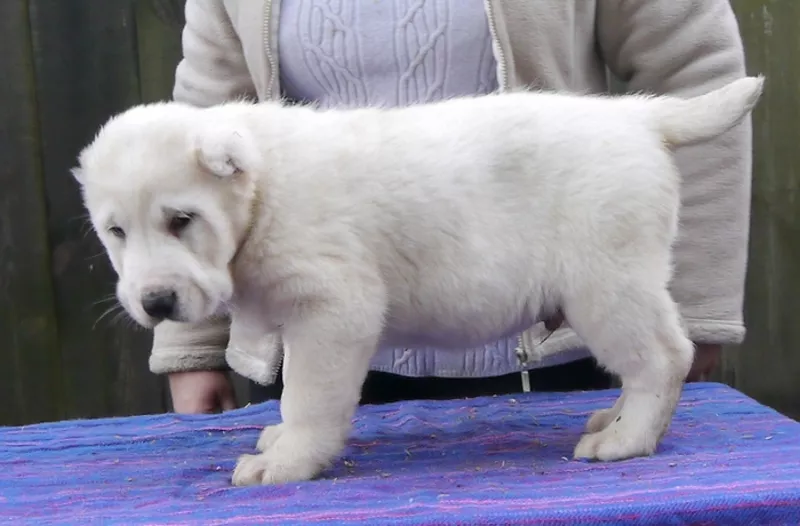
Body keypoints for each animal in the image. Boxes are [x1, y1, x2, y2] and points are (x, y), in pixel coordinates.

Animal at [73, 76, 764, 488]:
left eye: (181, 220)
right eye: (116, 231)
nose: (156, 302)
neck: (264, 189)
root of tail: (639, 119)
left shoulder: (333, 309)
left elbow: (308, 396)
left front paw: (287, 461)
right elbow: (295, 393)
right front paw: (281, 440)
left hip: (605, 282)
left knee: (664, 357)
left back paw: (626, 440)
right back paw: (612, 419)